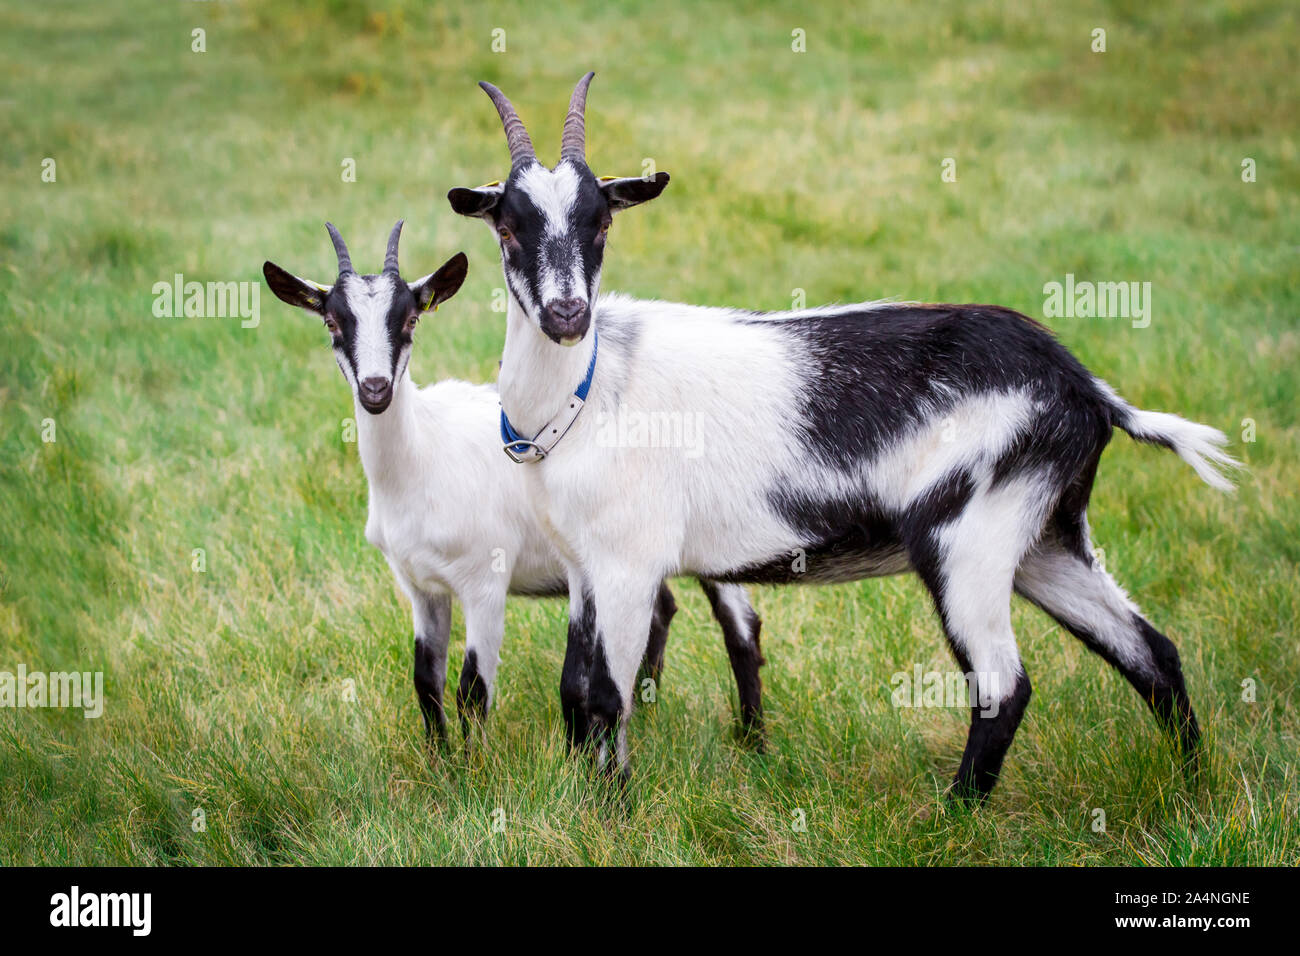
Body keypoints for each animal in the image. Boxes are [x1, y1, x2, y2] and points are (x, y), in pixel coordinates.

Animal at [266, 222, 769, 749]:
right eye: (332, 323)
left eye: (410, 320)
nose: (376, 389)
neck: (421, 458)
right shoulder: (419, 585)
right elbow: (425, 682)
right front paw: (438, 760)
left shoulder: (484, 579)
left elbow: (472, 689)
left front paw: (475, 767)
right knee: (661, 608)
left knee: (740, 626)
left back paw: (752, 738)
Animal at [447, 70, 1237, 796]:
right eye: (509, 227)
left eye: (602, 224)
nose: (567, 315)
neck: (591, 388)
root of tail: (1084, 386)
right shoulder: (584, 563)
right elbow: (574, 691)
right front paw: (582, 796)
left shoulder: (628, 561)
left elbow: (609, 697)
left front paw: (614, 811)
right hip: (1047, 536)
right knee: (1151, 653)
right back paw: (1191, 787)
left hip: (967, 533)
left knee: (1002, 685)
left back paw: (953, 817)